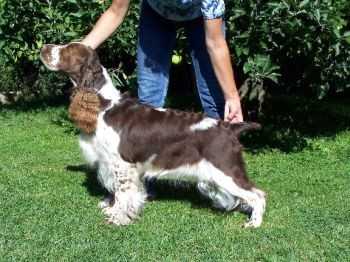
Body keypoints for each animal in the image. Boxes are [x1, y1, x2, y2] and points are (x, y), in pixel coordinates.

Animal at [39, 42, 266, 227]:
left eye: (68, 49)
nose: (43, 47)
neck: (103, 105)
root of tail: (228, 127)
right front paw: (112, 208)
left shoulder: (122, 165)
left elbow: (122, 193)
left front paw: (117, 217)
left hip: (225, 170)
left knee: (258, 195)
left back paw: (253, 223)